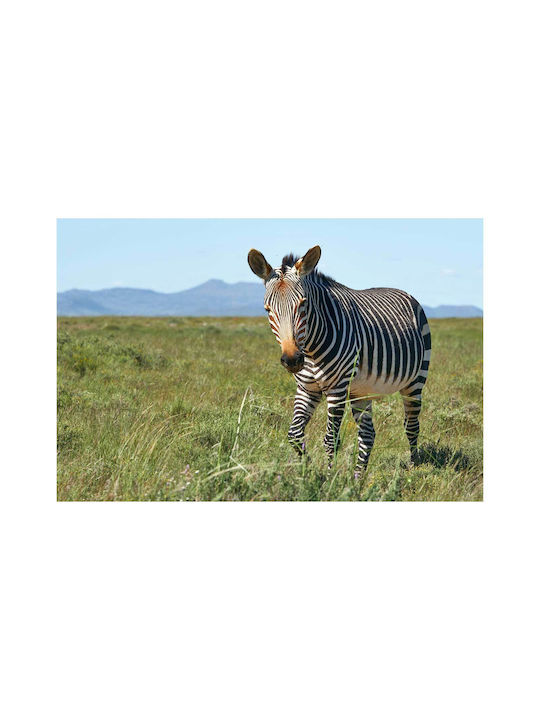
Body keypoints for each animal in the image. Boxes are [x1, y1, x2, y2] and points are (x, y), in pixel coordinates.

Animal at [247, 245, 431, 473]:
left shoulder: (337, 389)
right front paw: (308, 469)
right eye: (268, 310)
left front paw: (329, 478)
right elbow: (294, 435)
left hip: (415, 381)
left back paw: (413, 467)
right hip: (361, 390)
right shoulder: (307, 389)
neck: (310, 350)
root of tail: (404, 292)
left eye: (303, 304)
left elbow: (331, 439)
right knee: (368, 435)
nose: (292, 360)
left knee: (411, 426)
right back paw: (358, 477)